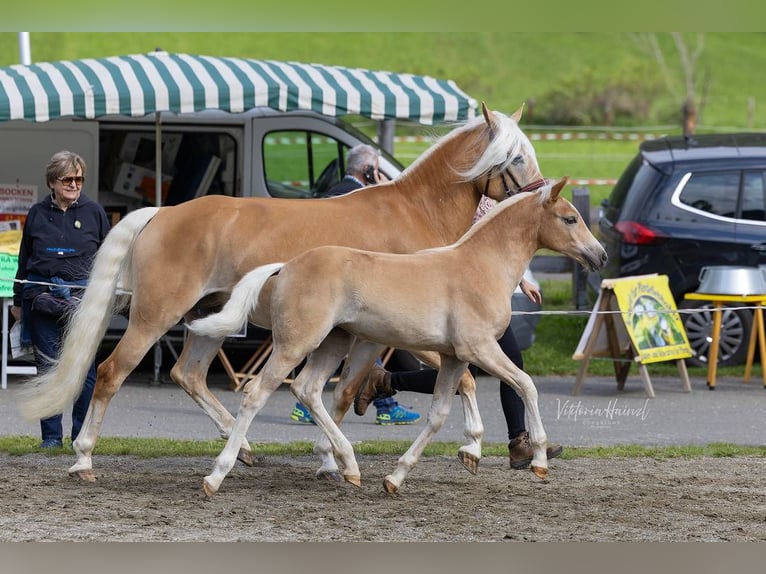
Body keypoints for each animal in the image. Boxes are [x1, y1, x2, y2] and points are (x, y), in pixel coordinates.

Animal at [17, 103, 547, 483]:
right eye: (516, 156)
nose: (543, 195)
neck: (413, 214)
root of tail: (162, 212)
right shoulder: (405, 334)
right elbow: (465, 380)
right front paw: (472, 445)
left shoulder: (370, 336)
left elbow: (341, 393)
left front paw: (330, 458)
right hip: (154, 317)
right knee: (111, 373)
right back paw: (84, 459)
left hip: (210, 321)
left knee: (189, 375)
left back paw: (243, 449)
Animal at [188, 177, 607, 496]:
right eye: (570, 218)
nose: (600, 256)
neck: (480, 265)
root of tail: (286, 266)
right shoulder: (481, 349)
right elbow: (526, 385)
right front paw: (538, 460)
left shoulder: (455, 357)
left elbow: (438, 416)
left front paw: (396, 477)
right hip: (295, 344)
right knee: (255, 393)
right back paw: (217, 475)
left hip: (333, 343)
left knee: (308, 390)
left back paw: (348, 465)